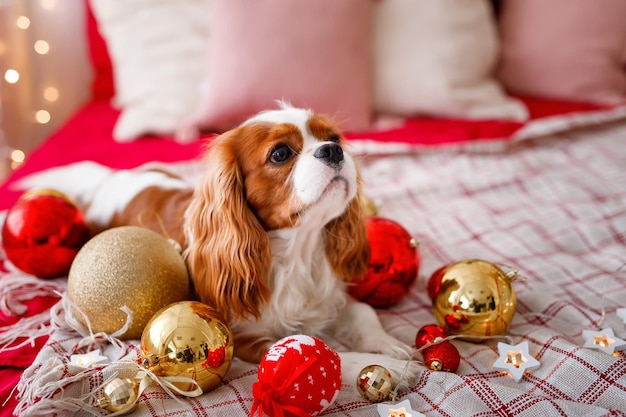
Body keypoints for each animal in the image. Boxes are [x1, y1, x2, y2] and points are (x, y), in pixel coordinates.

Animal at [20, 103, 420, 386]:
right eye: (280, 153)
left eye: (334, 138)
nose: (333, 151)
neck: (297, 251)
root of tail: (112, 181)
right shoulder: (247, 338)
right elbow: (322, 353)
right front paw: (387, 368)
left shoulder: (329, 298)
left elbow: (363, 311)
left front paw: (388, 345)